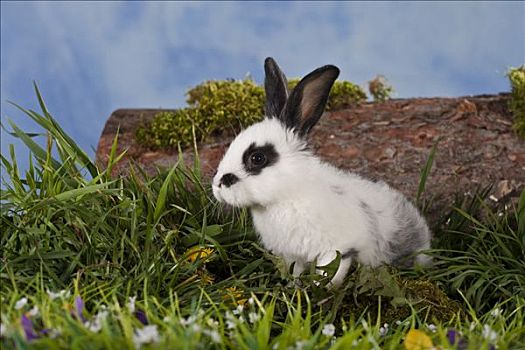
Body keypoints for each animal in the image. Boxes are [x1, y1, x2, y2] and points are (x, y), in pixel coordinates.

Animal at [211, 58, 432, 288]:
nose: (217, 186)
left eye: (257, 158)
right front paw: (293, 289)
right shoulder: (293, 256)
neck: (289, 194)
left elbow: (327, 277)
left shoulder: (337, 251)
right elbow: (295, 273)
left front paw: (317, 292)